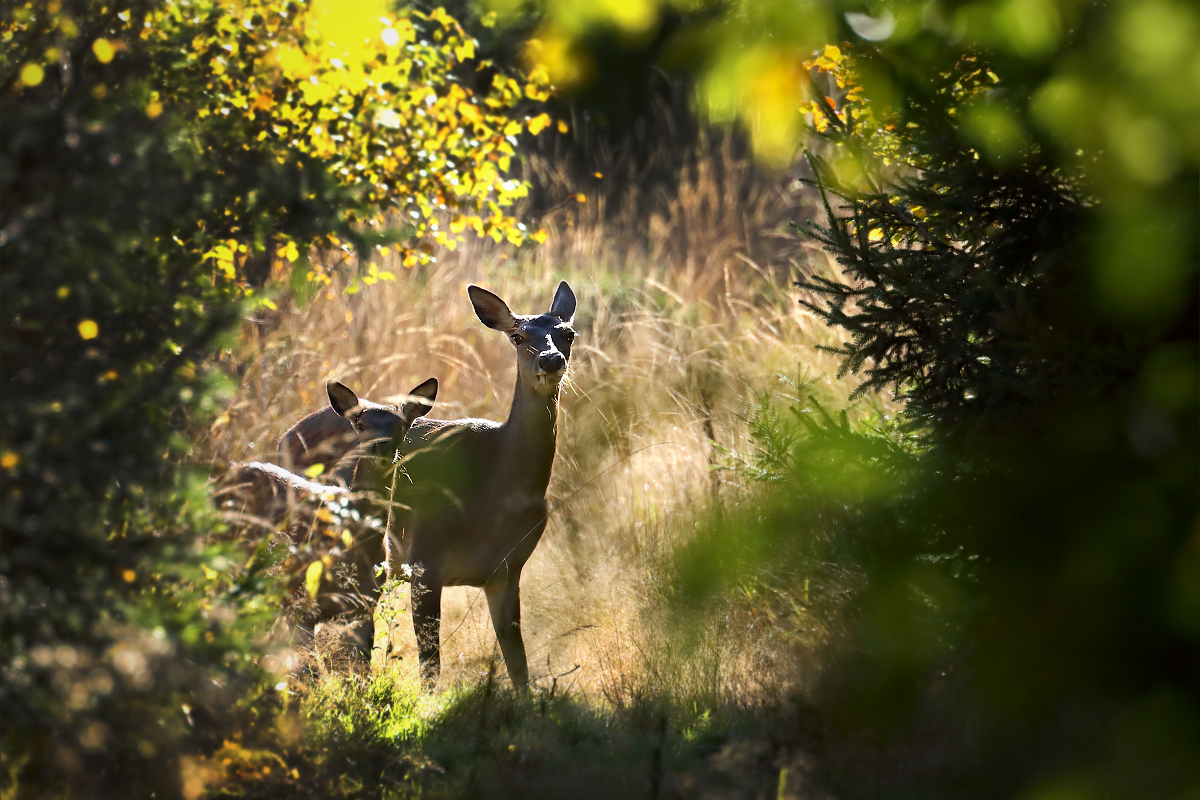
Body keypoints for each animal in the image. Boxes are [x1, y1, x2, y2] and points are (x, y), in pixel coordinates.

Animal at [331, 280, 578, 690]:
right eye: (517, 335)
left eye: (568, 333)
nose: (550, 360)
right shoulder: (424, 561)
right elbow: (431, 668)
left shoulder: (507, 572)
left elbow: (519, 667)